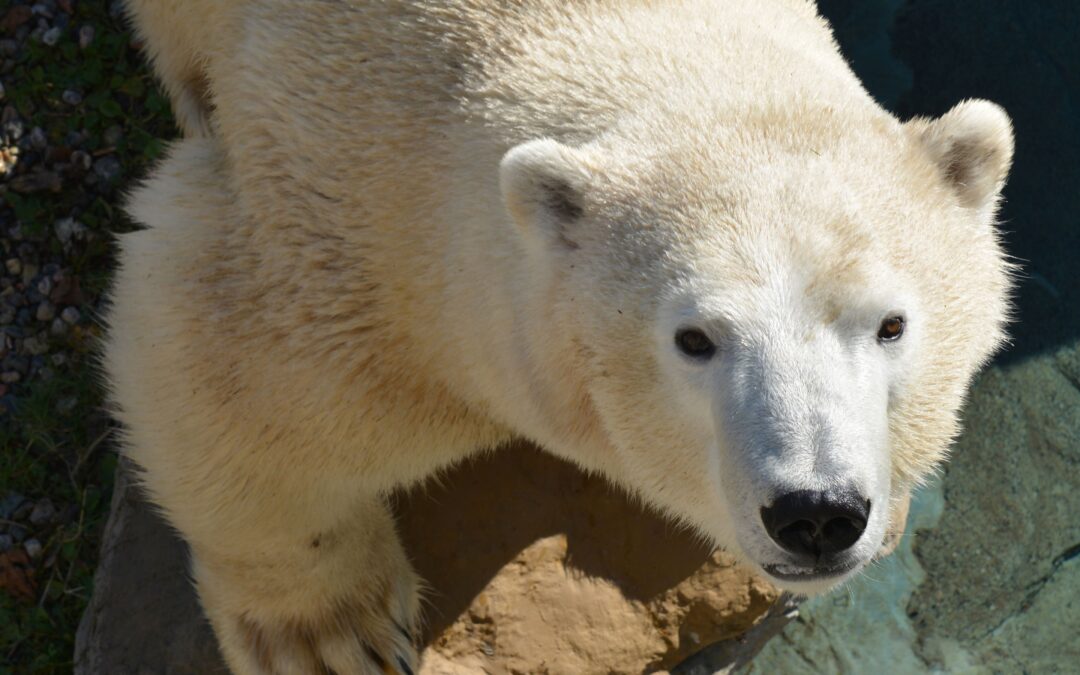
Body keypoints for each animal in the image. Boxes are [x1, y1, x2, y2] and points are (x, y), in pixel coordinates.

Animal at [107, 0, 1010, 669]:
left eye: (891, 324)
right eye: (694, 339)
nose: (816, 513)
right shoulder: (347, 237)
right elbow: (229, 370)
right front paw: (332, 638)